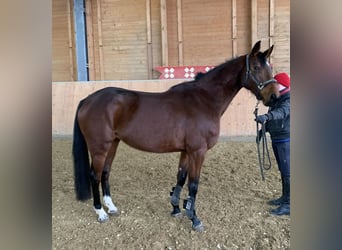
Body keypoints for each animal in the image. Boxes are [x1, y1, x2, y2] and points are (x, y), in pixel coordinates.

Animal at [72, 40, 278, 230]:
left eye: (270, 67)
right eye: (256, 67)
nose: (274, 96)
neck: (204, 100)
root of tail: (87, 100)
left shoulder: (186, 151)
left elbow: (181, 178)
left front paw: (177, 208)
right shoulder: (198, 151)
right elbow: (194, 184)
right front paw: (194, 218)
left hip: (113, 144)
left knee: (105, 173)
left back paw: (111, 207)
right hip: (100, 148)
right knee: (95, 175)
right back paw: (100, 212)